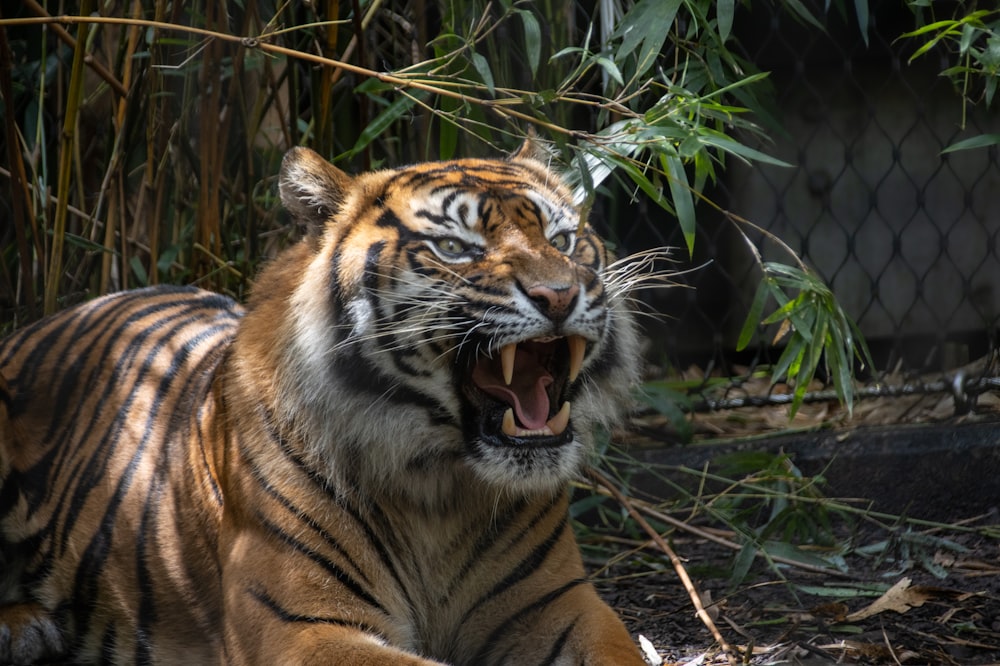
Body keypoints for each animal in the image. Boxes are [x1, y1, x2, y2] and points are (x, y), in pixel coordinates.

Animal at [0, 143, 652, 660]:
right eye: (453, 247)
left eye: (564, 240)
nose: (560, 295)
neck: (442, 490)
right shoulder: (305, 627)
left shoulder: (559, 605)